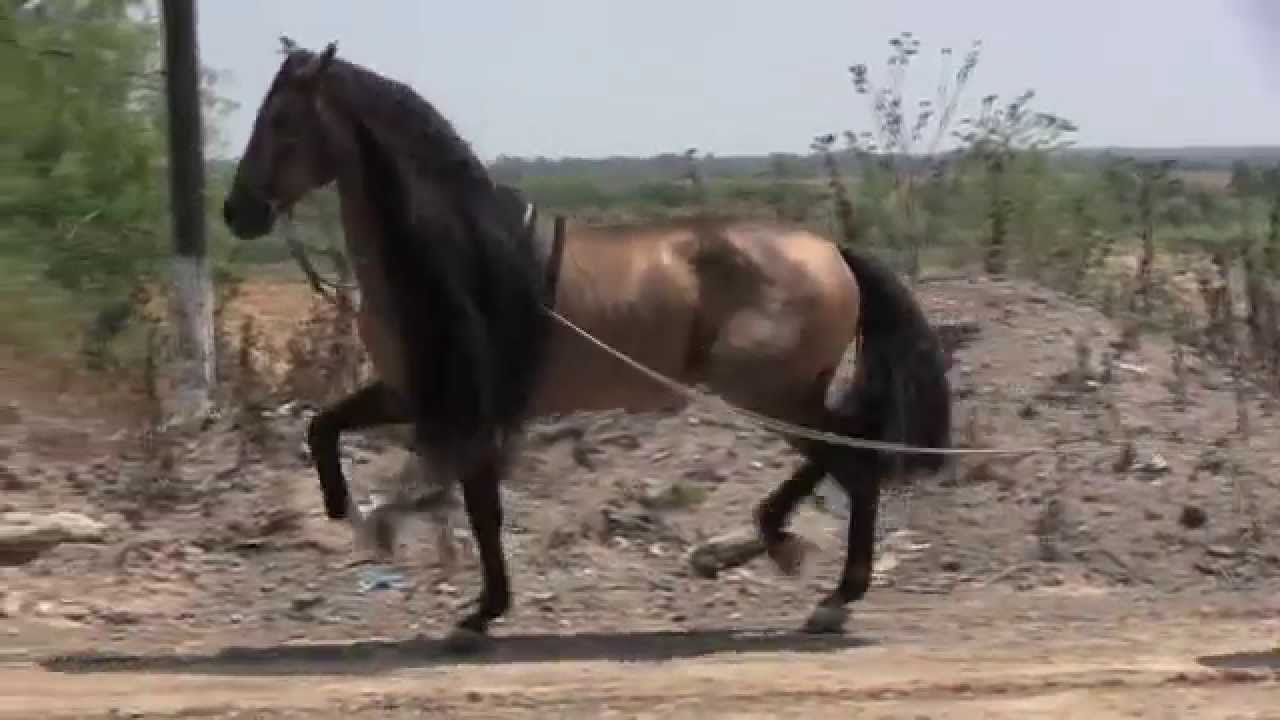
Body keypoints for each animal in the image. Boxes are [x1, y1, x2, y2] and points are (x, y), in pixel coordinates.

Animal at [221, 39, 952, 644]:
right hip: (783, 393)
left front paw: (464, 599)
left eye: (282, 121)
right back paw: (765, 546)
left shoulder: (464, 404)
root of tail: (832, 251)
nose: (237, 213)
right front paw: (368, 525)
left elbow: (477, 508)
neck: (459, 254)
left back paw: (829, 595)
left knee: (854, 465)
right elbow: (326, 427)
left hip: (766, 392)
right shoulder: (414, 392)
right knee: (840, 454)